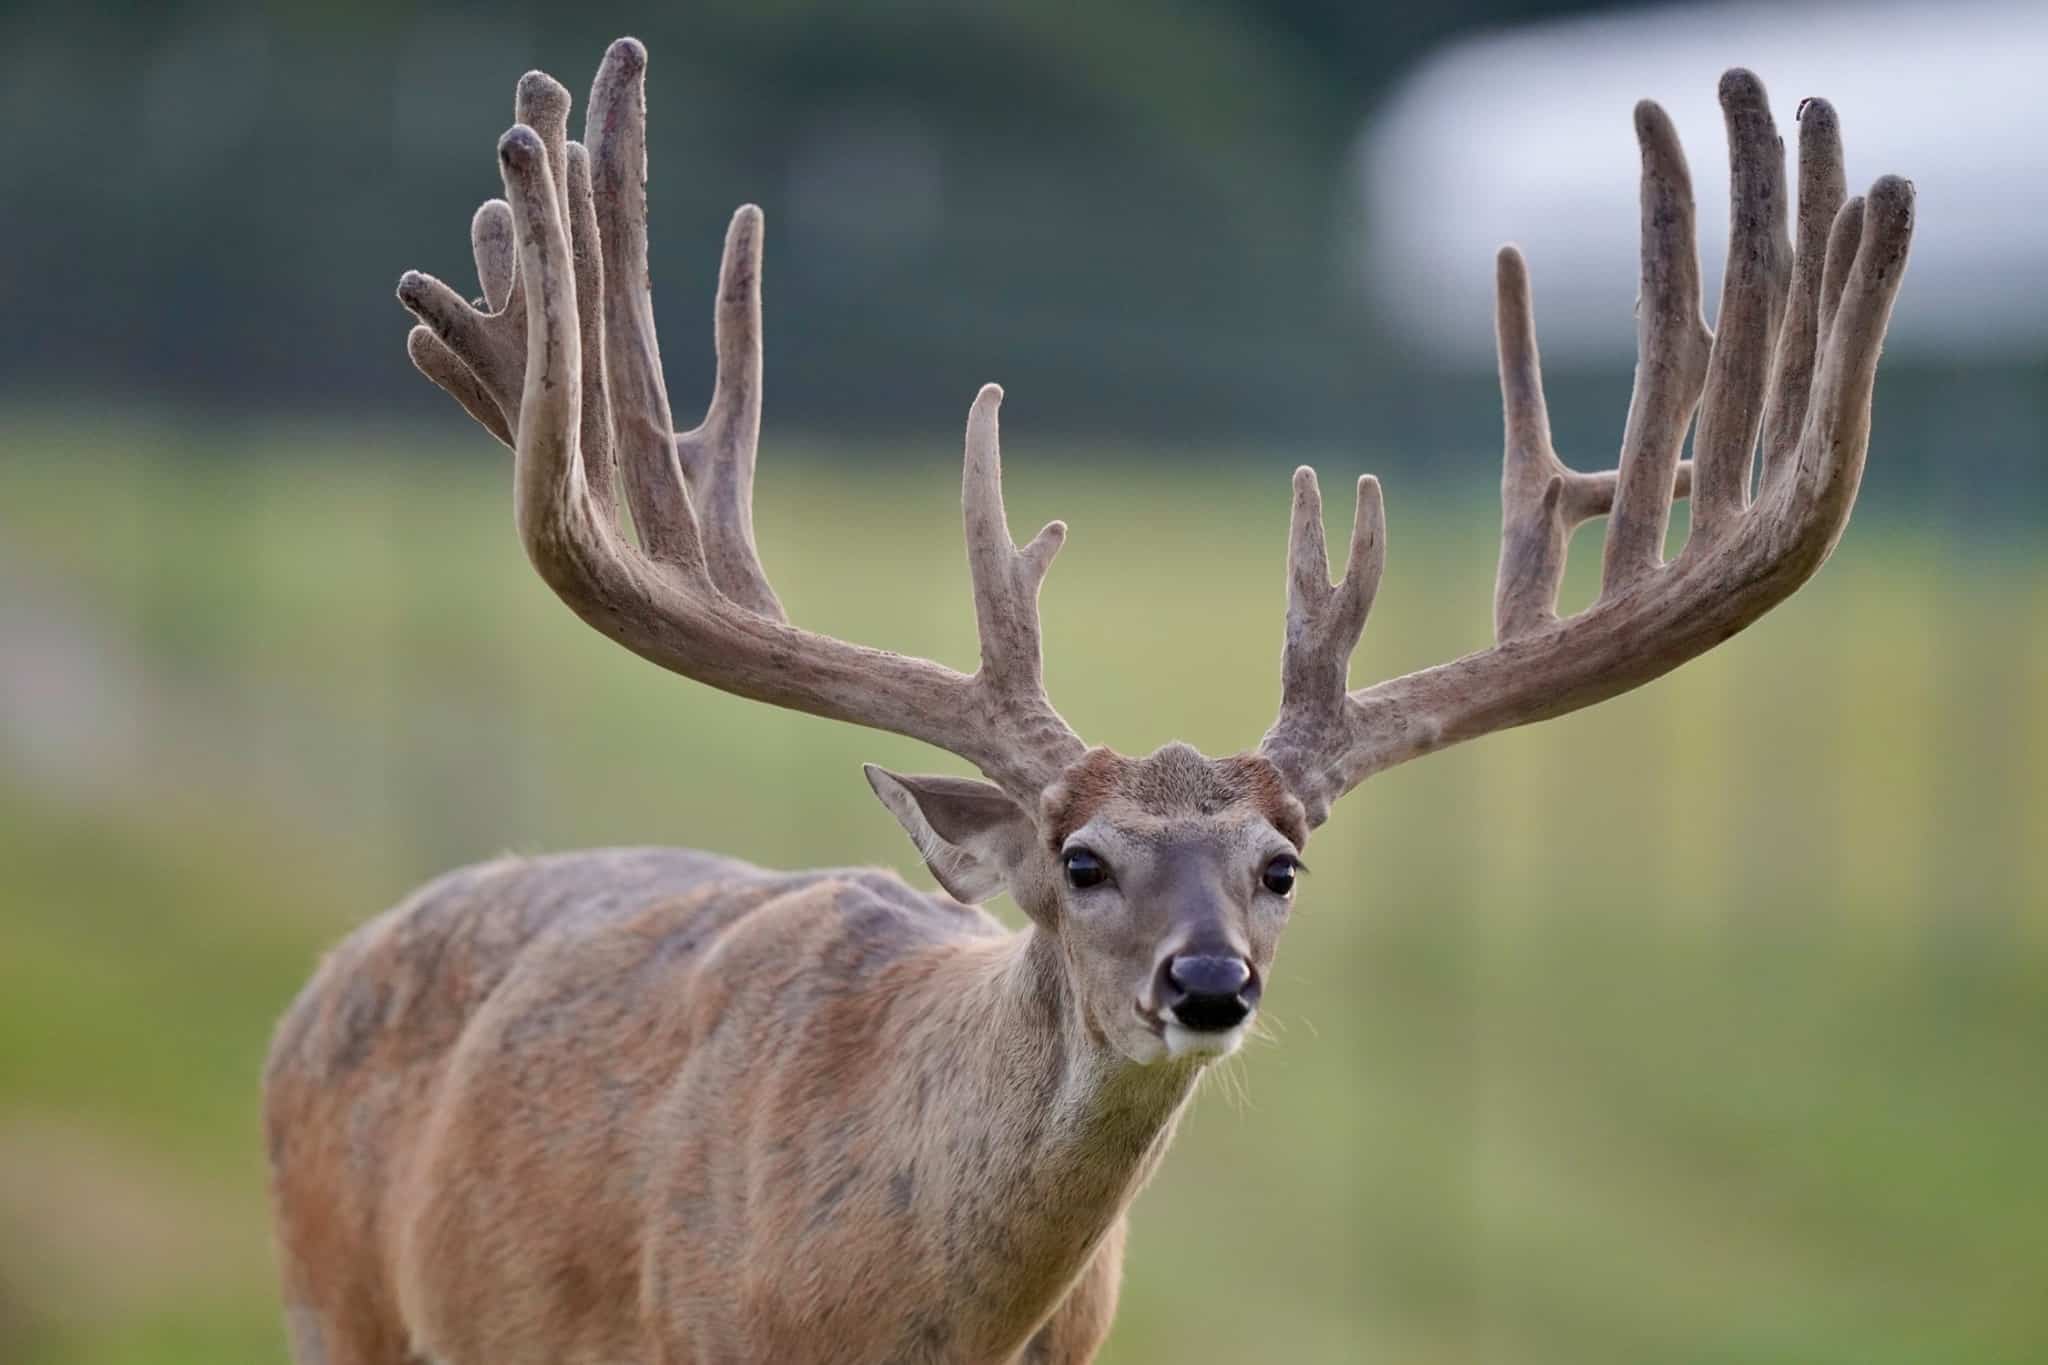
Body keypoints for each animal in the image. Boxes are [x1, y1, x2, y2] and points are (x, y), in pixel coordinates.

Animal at [264, 35, 1914, 1365]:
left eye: (1281, 865)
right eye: (1081, 860)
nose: (1210, 983)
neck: (888, 1322)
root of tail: (314, 992)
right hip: (336, 1305)